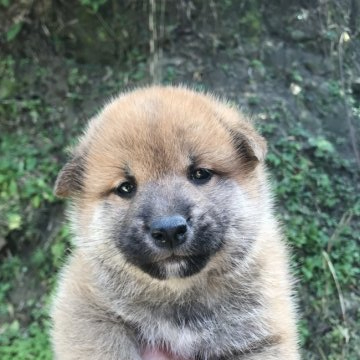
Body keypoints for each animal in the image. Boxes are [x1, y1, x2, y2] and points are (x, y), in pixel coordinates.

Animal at [50, 86, 298, 358]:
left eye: (200, 174)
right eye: (125, 188)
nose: (168, 230)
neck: (179, 291)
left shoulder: (262, 337)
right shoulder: (85, 309)